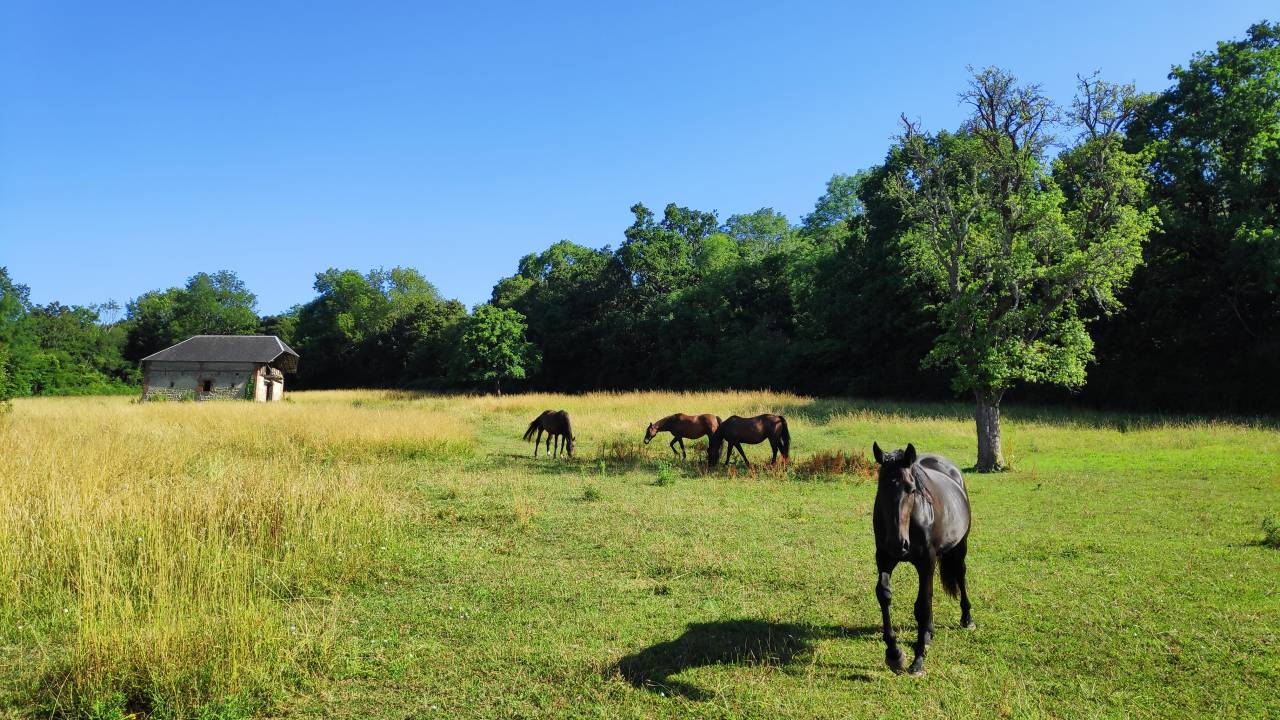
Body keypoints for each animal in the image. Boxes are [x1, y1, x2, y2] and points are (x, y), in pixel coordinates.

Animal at [871, 442, 974, 676]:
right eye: (881, 489)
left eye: (911, 489)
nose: (898, 544)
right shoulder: (884, 558)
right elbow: (884, 594)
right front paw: (894, 654)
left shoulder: (926, 561)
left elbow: (922, 605)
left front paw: (918, 660)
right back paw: (929, 632)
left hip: (959, 546)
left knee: (960, 575)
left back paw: (967, 619)